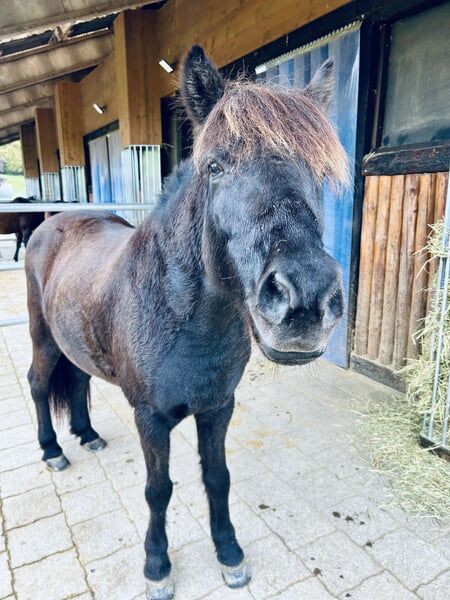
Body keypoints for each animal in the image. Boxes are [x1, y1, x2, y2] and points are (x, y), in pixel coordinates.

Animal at [23, 44, 348, 596]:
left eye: (321, 174)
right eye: (214, 166)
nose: (305, 298)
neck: (186, 325)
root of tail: (54, 224)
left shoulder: (217, 408)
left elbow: (218, 479)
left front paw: (230, 554)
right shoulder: (150, 418)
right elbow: (159, 490)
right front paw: (157, 566)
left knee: (79, 382)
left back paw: (87, 435)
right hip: (43, 340)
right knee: (40, 383)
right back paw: (53, 450)